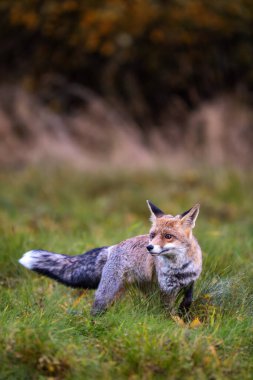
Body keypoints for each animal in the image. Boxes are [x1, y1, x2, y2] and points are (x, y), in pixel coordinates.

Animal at [18, 202, 202, 314]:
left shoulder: (190, 279)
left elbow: (189, 296)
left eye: (168, 236)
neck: (179, 268)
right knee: (95, 310)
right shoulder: (166, 288)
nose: (149, 247)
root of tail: (112, 248)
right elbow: (168, 311)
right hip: (107, 293)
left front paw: (183, 312)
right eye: (152, 235)